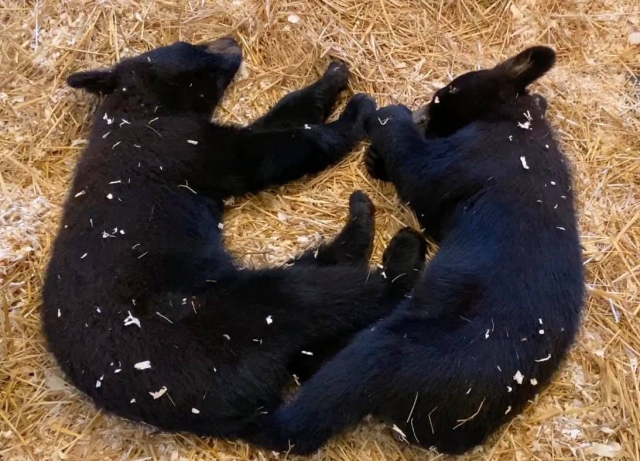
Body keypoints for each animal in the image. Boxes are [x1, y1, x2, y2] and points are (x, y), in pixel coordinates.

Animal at [42, 37, 427, 439]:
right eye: (190, 46)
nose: (229, 42)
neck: (141, 108)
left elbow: (277, 120)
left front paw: (332, 76)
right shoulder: (178, 145)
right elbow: (266, 152)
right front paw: (356, 111)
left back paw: (362, 220)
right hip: (218, 324)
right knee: (313, 294)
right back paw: (399, 251)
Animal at [242, 46, 585, 455]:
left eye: (443, 94)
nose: (423, 114)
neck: (518, 118)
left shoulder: (481, 151)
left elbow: (423, 174)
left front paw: (389, 117)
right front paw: (378, 158)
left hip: (403, 353)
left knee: (330, 393)